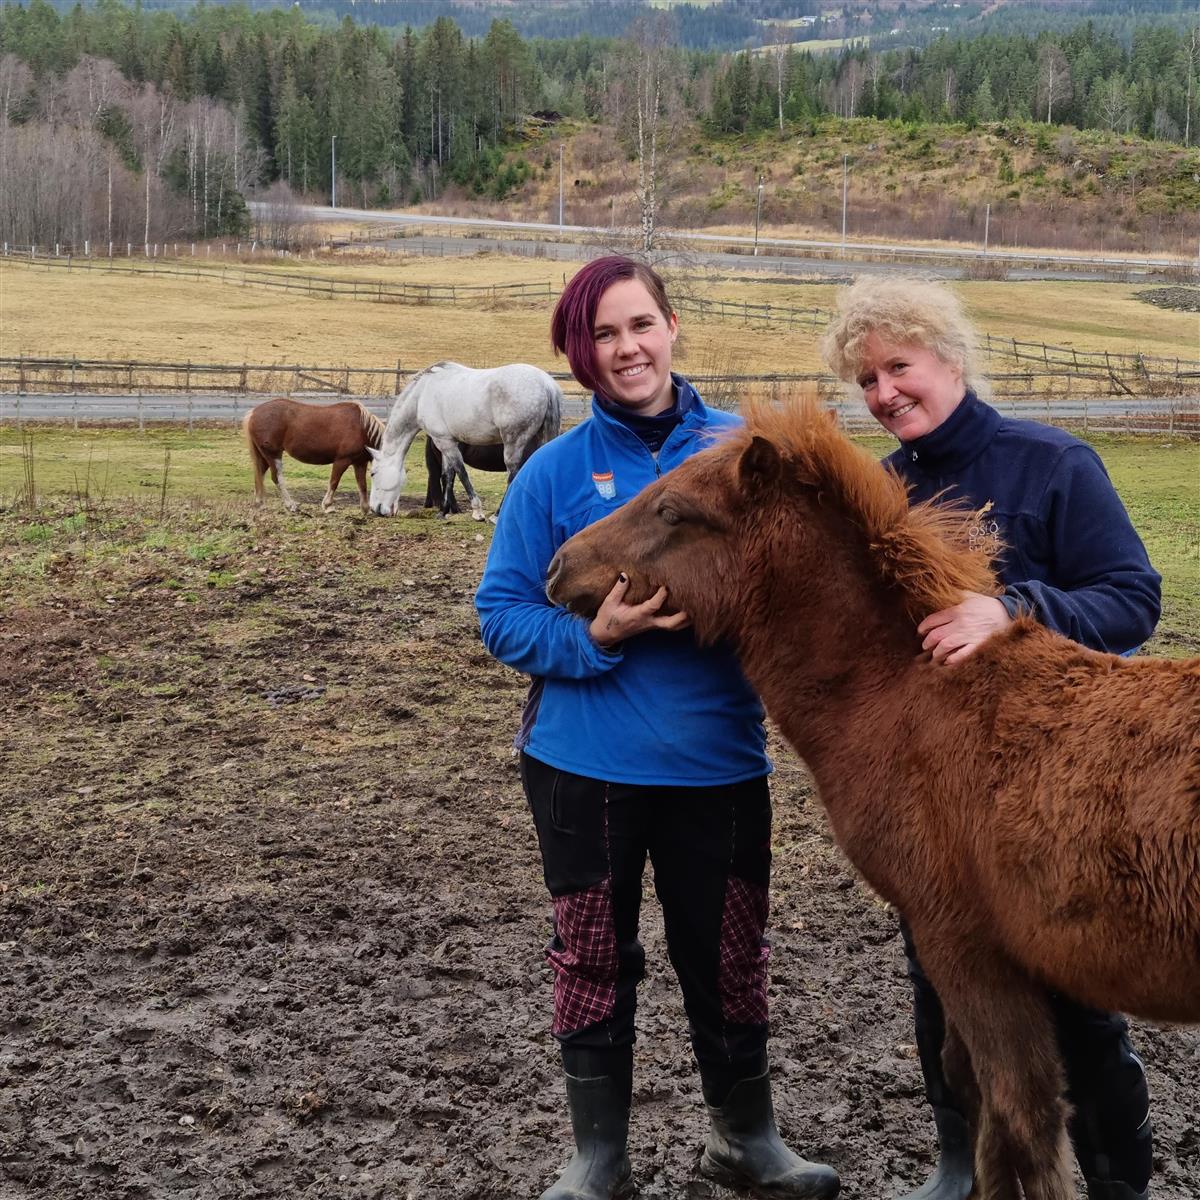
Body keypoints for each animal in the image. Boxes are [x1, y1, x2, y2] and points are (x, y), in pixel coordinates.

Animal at [240, 398, 379, 511]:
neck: (362, 428)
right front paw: (327, 505)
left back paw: (260, 503)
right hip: (273, 455)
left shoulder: (360, 463)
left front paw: (365, 508)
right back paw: (290, 504)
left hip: (264, 456)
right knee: (276, 477)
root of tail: (253, 413)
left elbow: (362, 485)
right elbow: (334, 482)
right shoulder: (342, 461)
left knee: (259, 474)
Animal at [369, 362, 561, 518]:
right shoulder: (446, 442)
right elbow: (448, 475)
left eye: (373, 473)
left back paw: (497, 515)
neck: (422, 394)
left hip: (513, 443)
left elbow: (461, 472)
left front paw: (477, 511)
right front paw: (443, 512)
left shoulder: (444, 442)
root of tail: (546, 384)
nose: (374, 509)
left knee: (514, 474)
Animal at [547, 393, 1200, 1200]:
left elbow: (1024, 1112)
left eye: (672, 510)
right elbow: (974, 1092)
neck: (907, 695)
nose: (556, 566)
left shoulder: (966, 944)